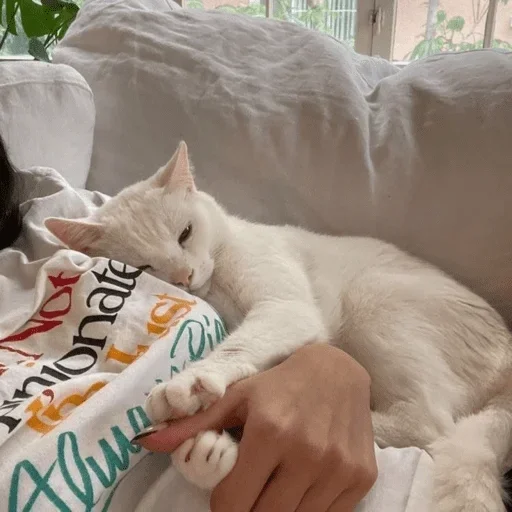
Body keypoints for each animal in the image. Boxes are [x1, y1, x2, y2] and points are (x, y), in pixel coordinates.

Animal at [45, 141, 512, 511]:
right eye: (143, 268)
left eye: (185, 233)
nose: (183, 277)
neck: (218, 283)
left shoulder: (285, 307)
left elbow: (239, 344)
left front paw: (191, 384)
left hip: (376, 302)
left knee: (430, 424)